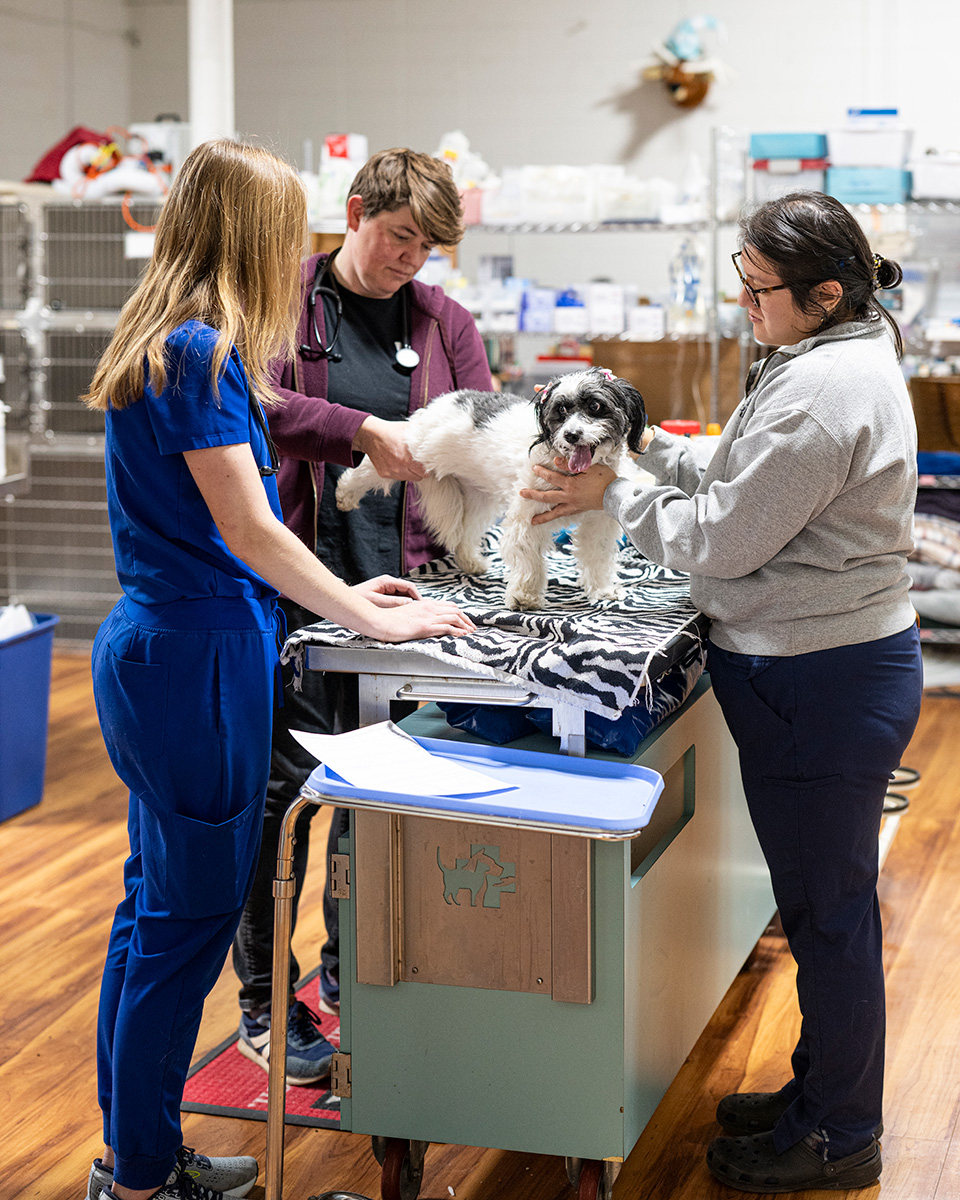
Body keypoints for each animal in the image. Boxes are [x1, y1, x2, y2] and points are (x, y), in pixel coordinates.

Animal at [336, 364, 643, 609]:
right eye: (562, 410)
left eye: (595, 406)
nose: (571, 434)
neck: (571, 469)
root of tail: (445, 400)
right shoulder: (527, 517)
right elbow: (529, 559)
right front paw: (525, 597)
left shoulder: (598, 520)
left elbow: (597, 556)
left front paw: (602, 589)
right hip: (410, 453)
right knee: (371, 468)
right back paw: (346, 492)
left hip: (477, 497)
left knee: (466, 532)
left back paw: (470, 561)